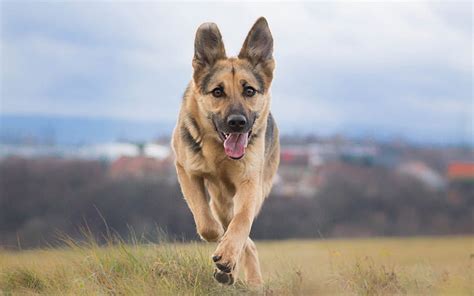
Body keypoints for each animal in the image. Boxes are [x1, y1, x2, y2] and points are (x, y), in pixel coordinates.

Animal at [172, 17, 280, 286]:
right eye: (217, 92)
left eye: (249, 90)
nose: (237, 123)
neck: (219, 154)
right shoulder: (186, 172)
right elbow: (206, 222)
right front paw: (219, 241)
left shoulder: (249, 183)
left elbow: (241, 222)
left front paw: (228, 255)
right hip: (221, 201)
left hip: (254, 191)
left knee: (244, 232)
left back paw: (248, 278)